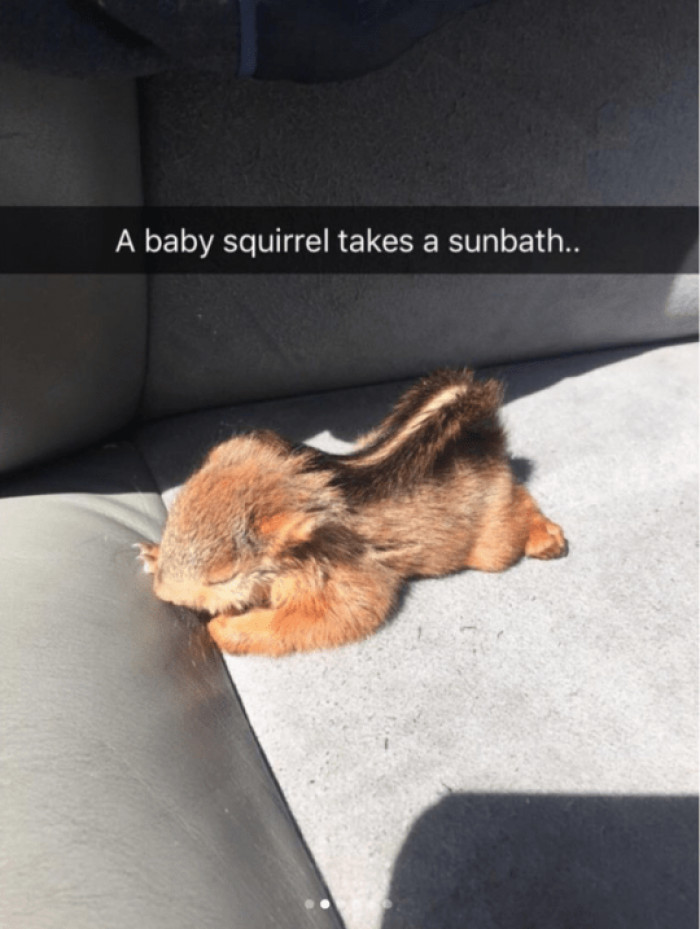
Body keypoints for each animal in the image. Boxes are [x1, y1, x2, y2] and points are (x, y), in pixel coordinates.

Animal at [138, 369, 567, 656]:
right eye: (171, 521)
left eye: (223, 575)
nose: (164, 594)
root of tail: (485, 441)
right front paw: (152, 554)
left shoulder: (345, 569)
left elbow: (332, 614)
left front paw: (223, 626)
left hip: (493, 540)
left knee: (518, 504)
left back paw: (545, 537)